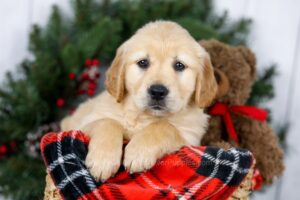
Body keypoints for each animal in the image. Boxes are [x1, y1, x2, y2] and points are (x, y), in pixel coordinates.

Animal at [59, 21, 217, 182]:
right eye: (143, 62)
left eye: (179, 65)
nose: (157, 91)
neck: (144, 116)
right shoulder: (82, 125)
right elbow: (107, 122)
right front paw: (103, 160)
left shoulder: (191, 138)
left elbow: (165, 126)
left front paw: (138, 152)